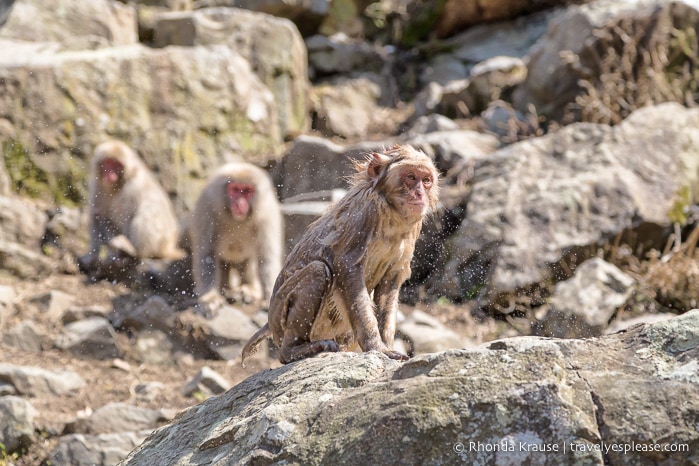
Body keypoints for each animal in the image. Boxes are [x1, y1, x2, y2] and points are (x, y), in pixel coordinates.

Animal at [80, 140, 183, 274]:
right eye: (108, 163)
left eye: (117, 165)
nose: (110, 175)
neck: (116, 186)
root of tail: (170, 246)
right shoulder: (98, 184)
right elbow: (98, 215)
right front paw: (94, 255)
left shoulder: (133, 187)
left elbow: (128, 215)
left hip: (162, 240)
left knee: (147, 210)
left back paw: (134, 251)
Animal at [190, 161, 286, 314]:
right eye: (235, 190)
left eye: (247, 191)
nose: (240, 204)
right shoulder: (206, 208)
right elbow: (206, 254)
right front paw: (210, 298)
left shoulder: (267, 214)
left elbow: (267, 258)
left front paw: (269, 297)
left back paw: (249, 289)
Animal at [241, 145, 438, 364]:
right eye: (411, 177)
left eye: (426, 180)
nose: (420, 193)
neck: (390, 211)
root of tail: (270, 323)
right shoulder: (364, 216)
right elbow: (347, 268)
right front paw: (376, 347)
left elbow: (390, 284)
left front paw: (386, 345)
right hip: (280, 315)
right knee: (318, 271)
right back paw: (294, 350)